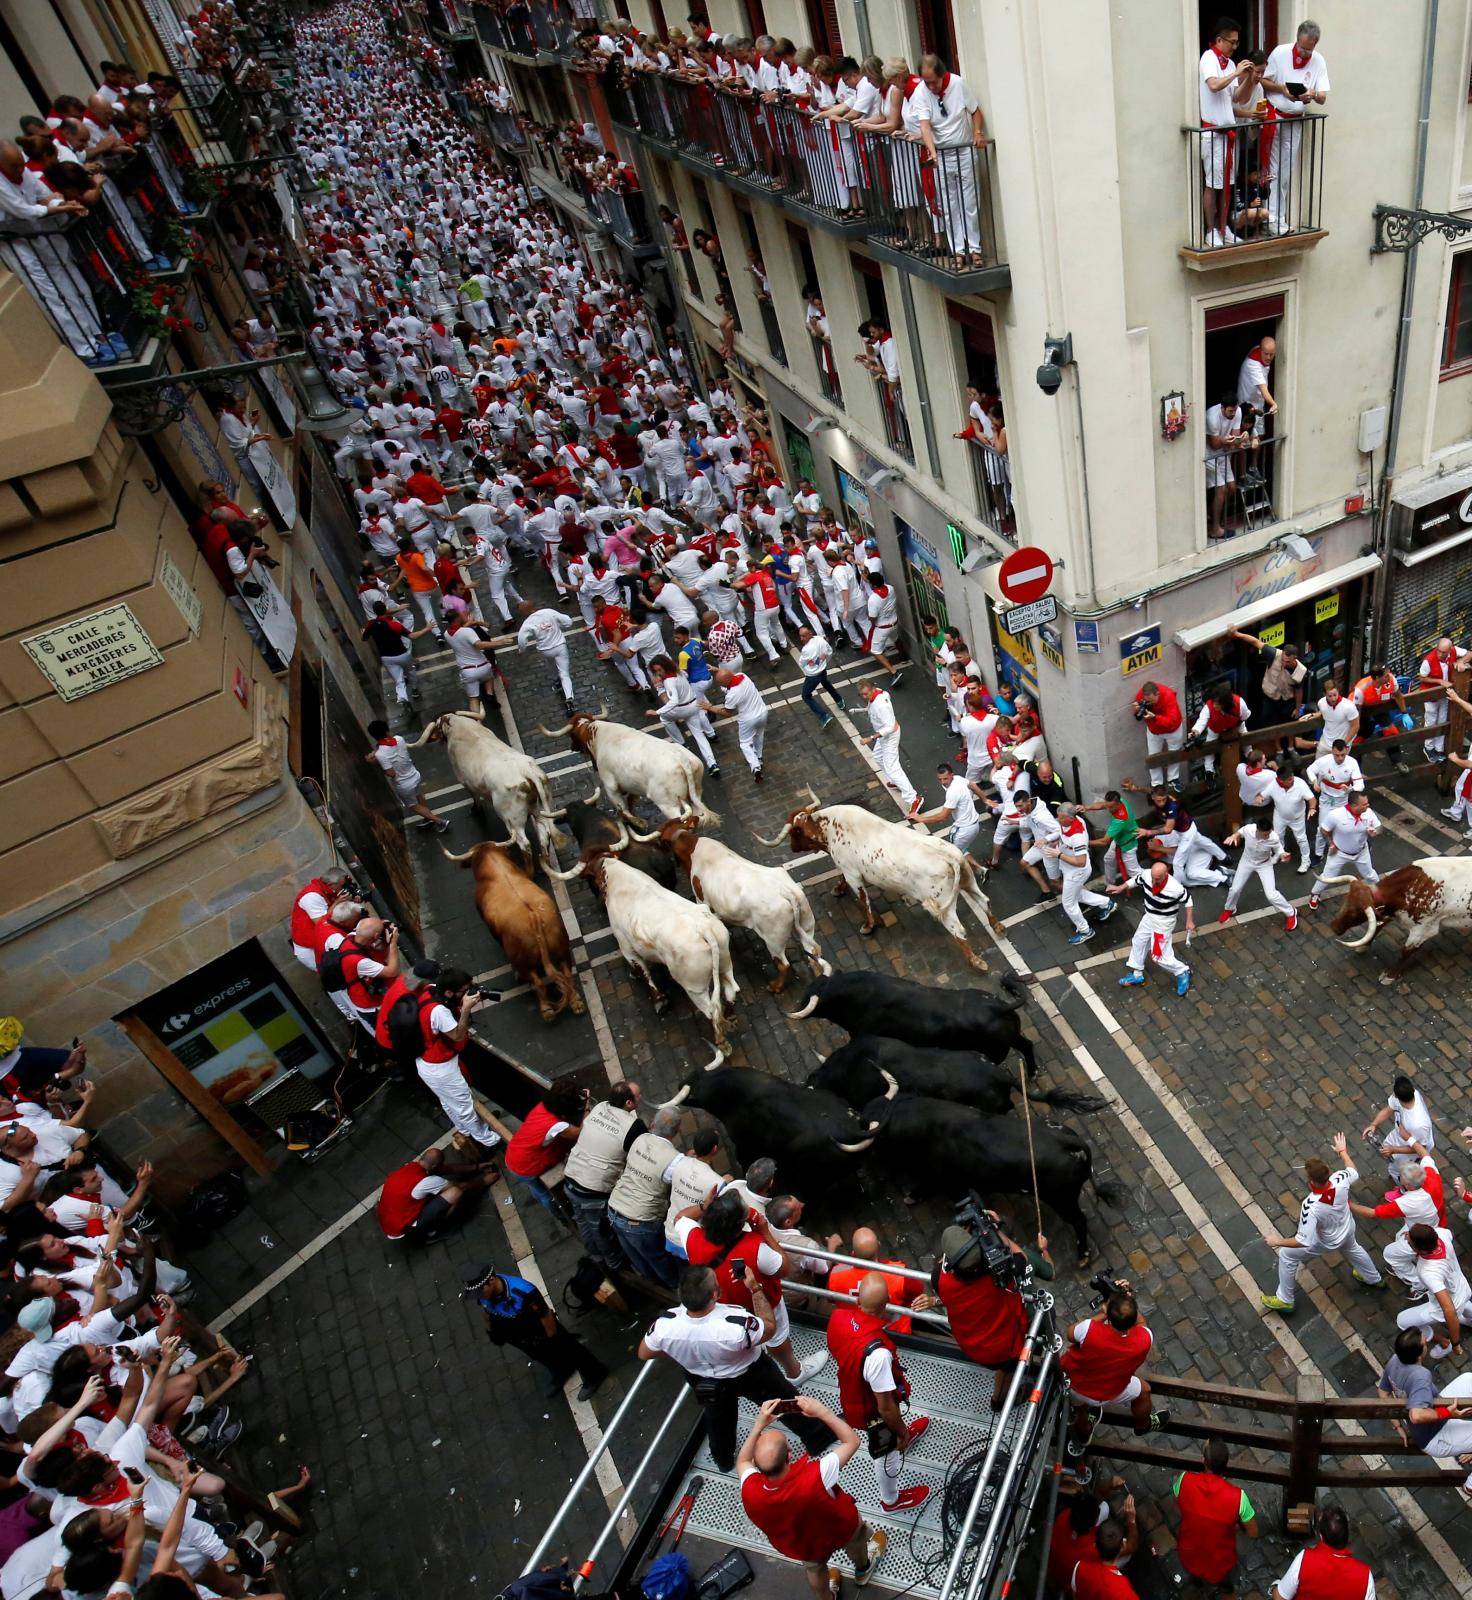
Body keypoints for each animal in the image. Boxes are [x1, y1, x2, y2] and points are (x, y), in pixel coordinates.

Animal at [444, 844, 582, 1017]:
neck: (494, 867)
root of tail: (533, 917)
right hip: (562, 948)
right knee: (567, 973)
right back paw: (576, 1002)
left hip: (524, 963)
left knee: (537, 983)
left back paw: (547, 1010)